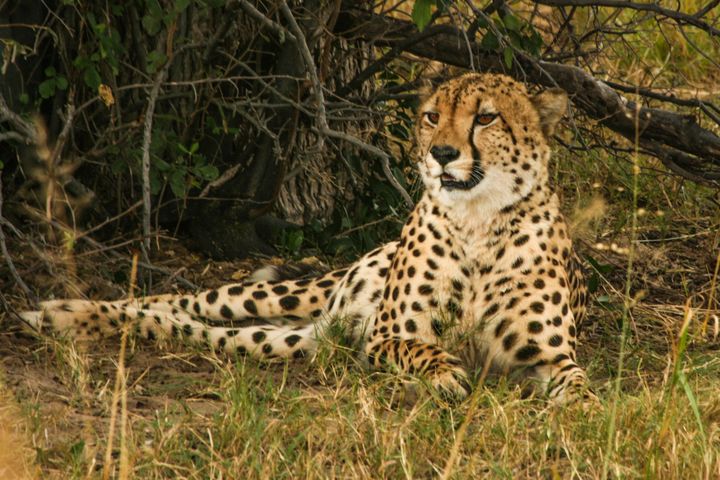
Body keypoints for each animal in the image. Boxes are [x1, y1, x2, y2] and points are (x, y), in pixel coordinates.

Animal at [19, 74, 592, 404]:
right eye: (433, 116)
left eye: (487, 117)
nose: (442, 154)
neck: (478, 221)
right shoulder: (386, 337)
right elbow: (418, 347)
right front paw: (444, 372)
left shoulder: (548, 358)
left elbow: (579, 382)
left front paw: (582, 408)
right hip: (288, 295)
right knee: (188, 300)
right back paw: (62, 312)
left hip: (293, 338)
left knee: (198, 329)